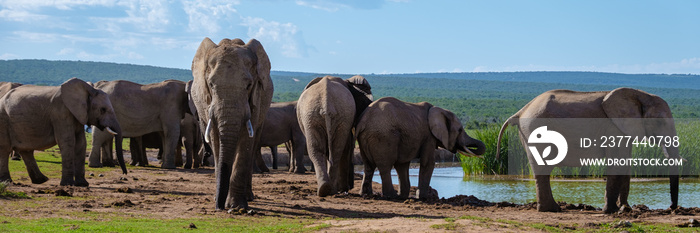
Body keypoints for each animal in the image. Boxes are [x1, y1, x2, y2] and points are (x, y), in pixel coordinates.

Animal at [191, 37, 274, 209]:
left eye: (248, 85)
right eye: (211, 85)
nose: (219, 207)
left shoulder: (256, 98)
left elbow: (246, 142)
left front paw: (236, 206)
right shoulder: (208, 103)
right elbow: (216, 140)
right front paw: (221, 201)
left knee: (253, 144)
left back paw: (248, 197)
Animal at [494, 88, 680, 213]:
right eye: (660, 122)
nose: (671, 208)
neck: (640, 95)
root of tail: (521, 111)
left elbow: (625, 163)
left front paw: (625, 209)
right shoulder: (613, 128)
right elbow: (616, 163)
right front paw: (610, 211)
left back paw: (552, 208)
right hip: (535, 130)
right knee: (543, 168)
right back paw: (552, 209)